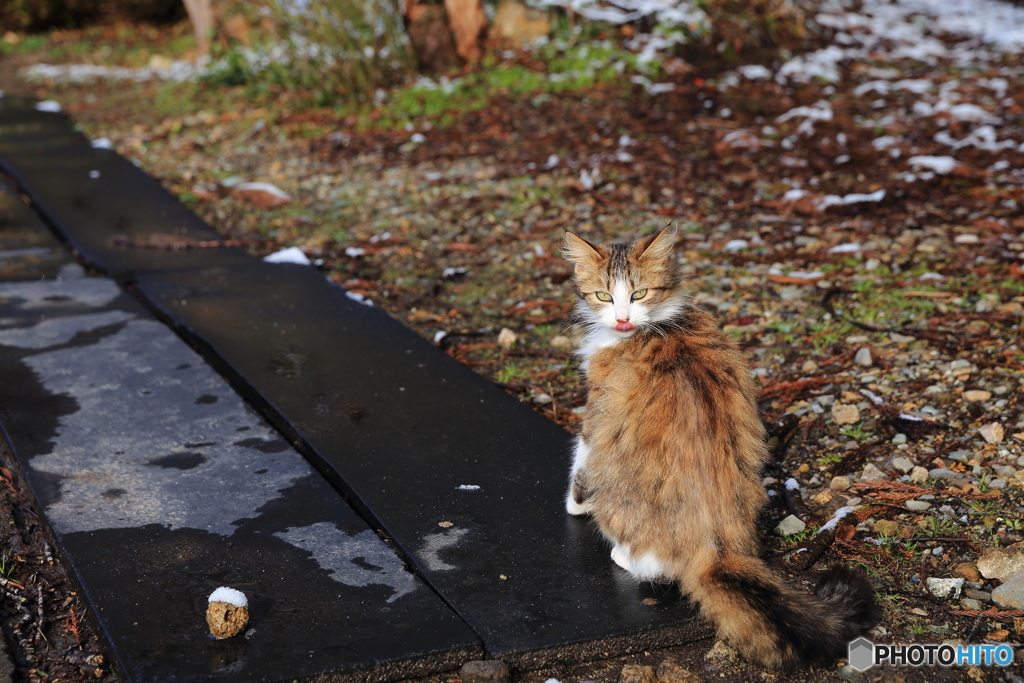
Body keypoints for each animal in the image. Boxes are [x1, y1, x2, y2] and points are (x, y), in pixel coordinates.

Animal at [565, 228, 876, 667]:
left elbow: (579, 462)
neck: (661, 325)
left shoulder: (598, 409)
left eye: (639, 293)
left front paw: (574, 505)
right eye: (604, 296)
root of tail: (715, 545)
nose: (623, 318)